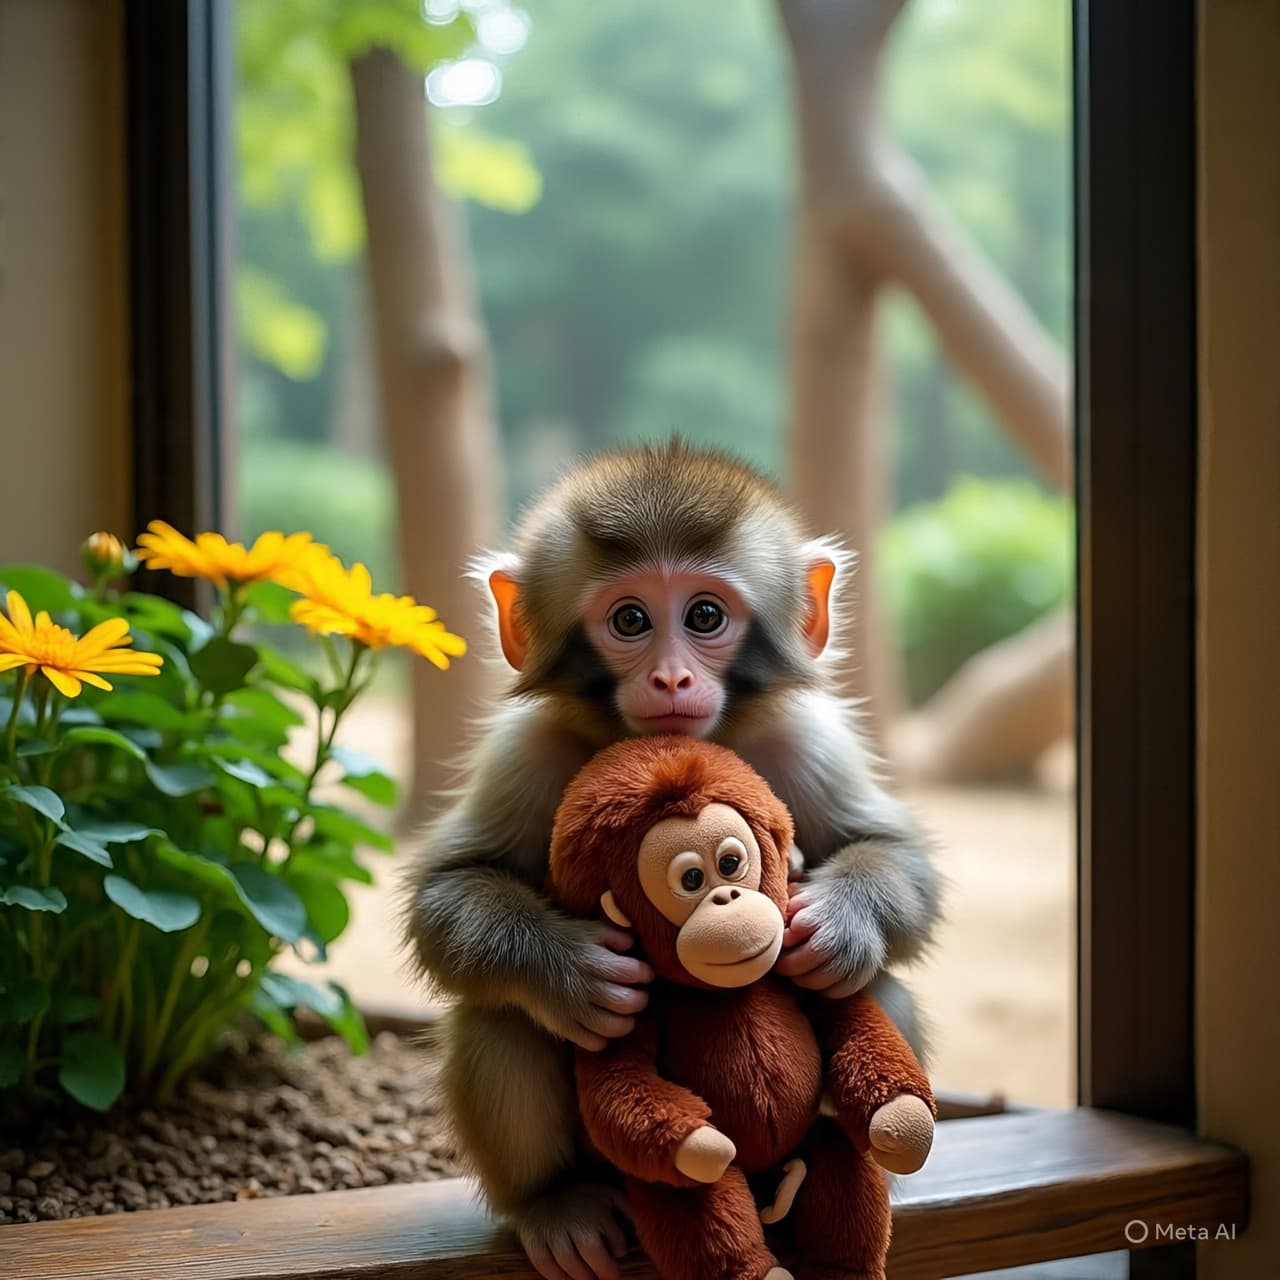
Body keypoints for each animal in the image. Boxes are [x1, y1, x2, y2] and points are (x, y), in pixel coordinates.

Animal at [401, 441, 941, 1280]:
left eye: (705, 616)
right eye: (630, 620)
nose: (671, 678)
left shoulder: (806, 739)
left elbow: (894, 853)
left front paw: (841, 926)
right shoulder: (527, 751)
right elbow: (447, 889)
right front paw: (568, 970)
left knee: (877, 987)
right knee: (499, 1017)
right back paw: (555, 1204)